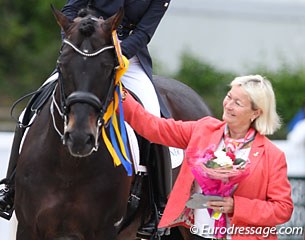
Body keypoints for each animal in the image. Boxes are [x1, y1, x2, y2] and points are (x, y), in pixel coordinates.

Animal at [14, 6, 211, 240]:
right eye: (61, 65)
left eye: (109, 68)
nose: (79, 138)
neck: (69, 166)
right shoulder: (27, 228)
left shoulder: (104, 230)